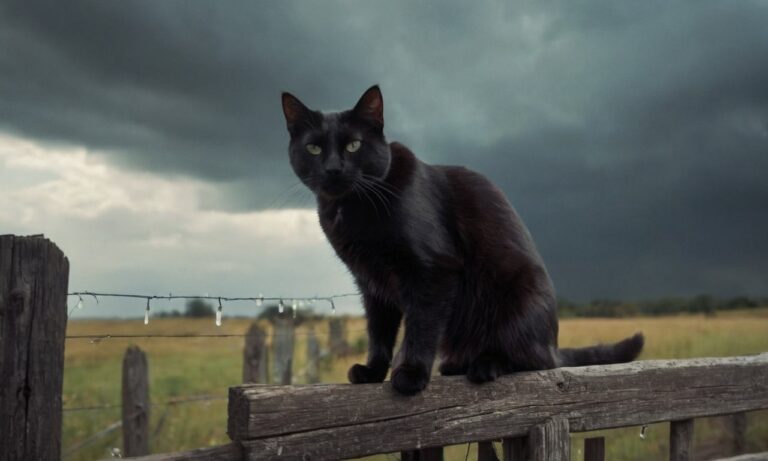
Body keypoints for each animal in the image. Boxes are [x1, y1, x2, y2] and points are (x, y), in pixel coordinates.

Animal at [282, 84, 640, 394]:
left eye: (353, 145)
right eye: (314, 148)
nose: (333, 169)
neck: (351, 207)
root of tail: (554, 344)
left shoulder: (433, 270)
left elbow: (421, 327)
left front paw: (410, 374)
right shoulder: (372, 283)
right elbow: (379, 332)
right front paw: (372, 372)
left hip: (519, 296)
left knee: (533, 360)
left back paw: (485, 364)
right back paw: (456, 365)